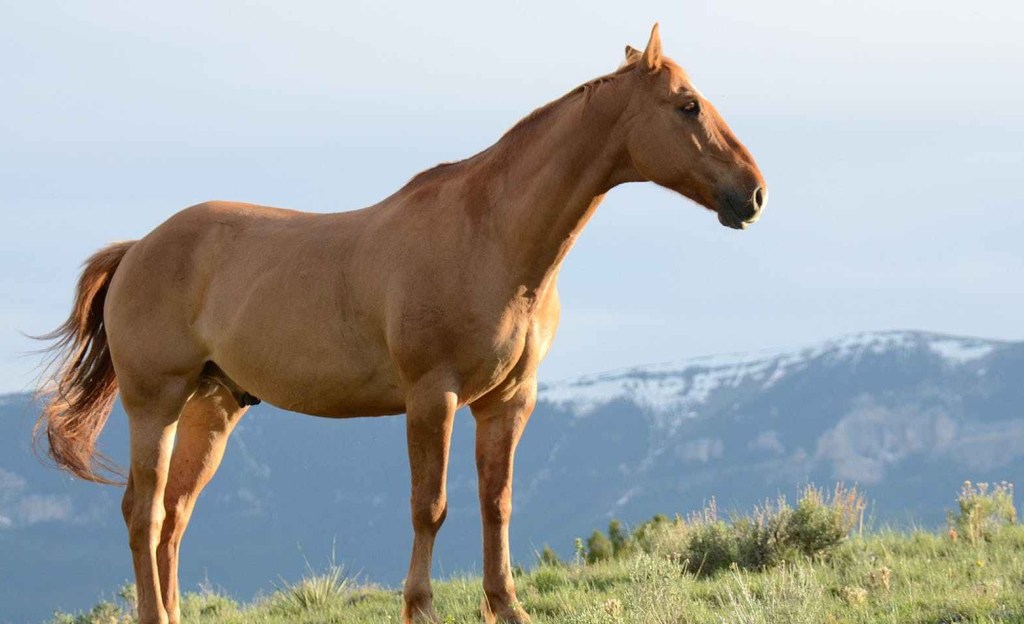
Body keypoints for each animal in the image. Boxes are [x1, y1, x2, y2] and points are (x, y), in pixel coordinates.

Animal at [35, 24, 766, 624]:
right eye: (688, 105)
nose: (753, 193)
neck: (490, 237)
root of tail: (138, 247)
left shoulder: (508, 401)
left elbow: (496, 503)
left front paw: (507, 607)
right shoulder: (431, 397)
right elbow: (430, 506)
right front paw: (421, 608)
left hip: (212, 407)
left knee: (174, 518)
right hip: (155, 403)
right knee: (144, 512)